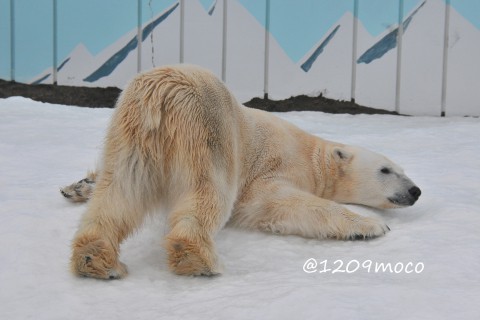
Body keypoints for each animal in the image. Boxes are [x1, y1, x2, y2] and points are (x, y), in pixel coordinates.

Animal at [62, 63, 420, 278]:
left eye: (403, 169)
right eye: (387, 170)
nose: (415, 191)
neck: (314, 155)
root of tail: (160, 93)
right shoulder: (279, 163)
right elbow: (275, 203)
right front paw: (370, 226)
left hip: (129, 132)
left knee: (120, 190)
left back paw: (94, 254)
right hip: (208, 130)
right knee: (209, 192)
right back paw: (199, 259)